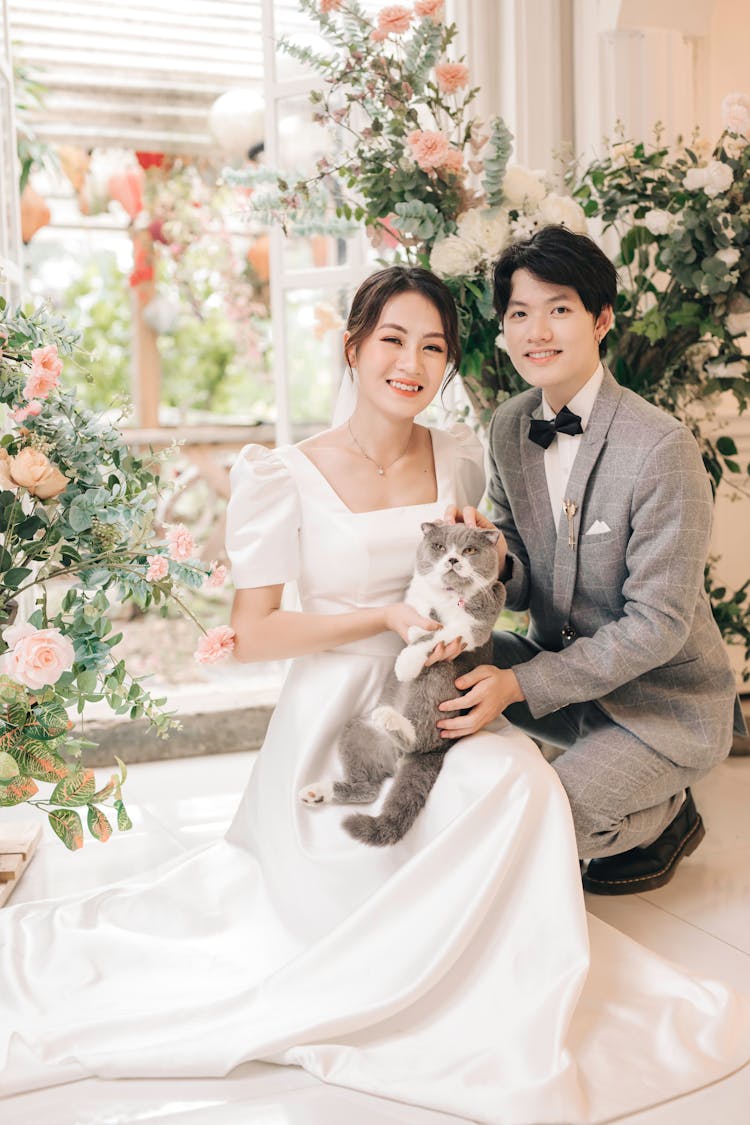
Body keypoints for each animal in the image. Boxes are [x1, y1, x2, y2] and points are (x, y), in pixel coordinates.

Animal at [299, 522, 503, 846]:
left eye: (469, 550)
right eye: (439, 547)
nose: (453, 559)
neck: (448, 597)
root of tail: (400, 759)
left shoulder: (477, 621)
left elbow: (435, 636)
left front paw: (405, 663)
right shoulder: (415, 600)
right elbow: (420, 619)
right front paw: (419, 626)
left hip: (440, 678)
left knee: (419, 734)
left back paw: (396, 722)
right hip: (356, 732)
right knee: (367, 789)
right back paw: (318, 792)